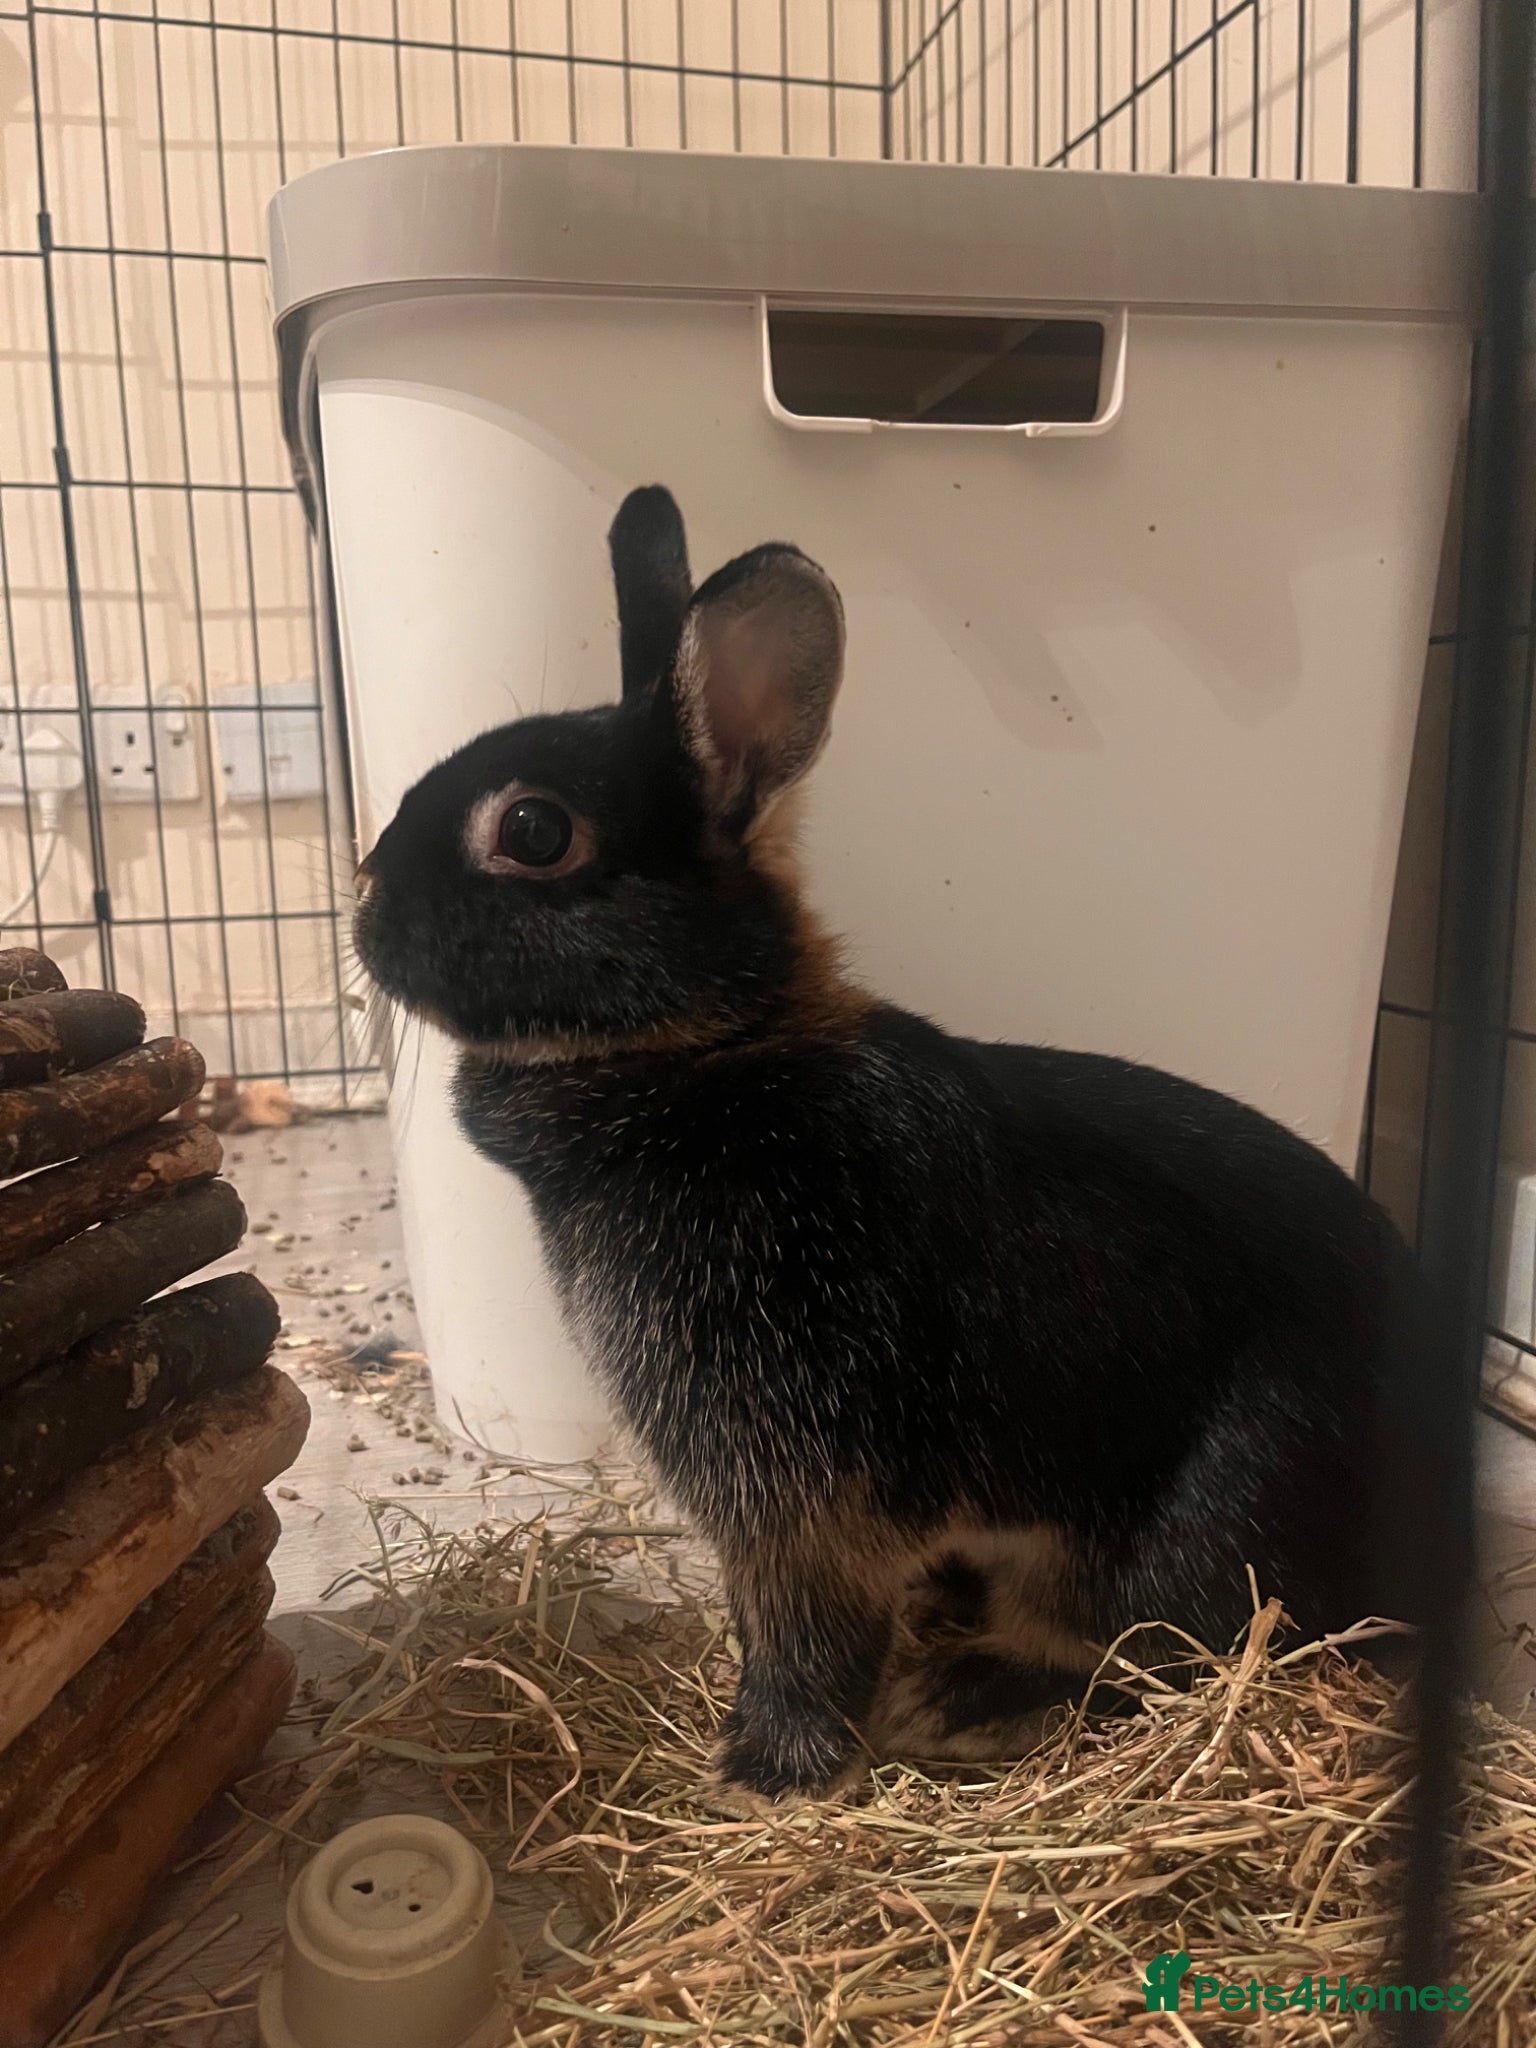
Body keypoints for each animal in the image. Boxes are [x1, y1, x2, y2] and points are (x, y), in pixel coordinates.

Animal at [354, 483, 1419, 1800]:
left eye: (536, 829)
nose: (363, 893)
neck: (710, 1049)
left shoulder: (791, 1480)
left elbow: (802, 1627)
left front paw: (763, 1768)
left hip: (1210, 1516)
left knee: (1161, 1650)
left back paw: (964, 1691)